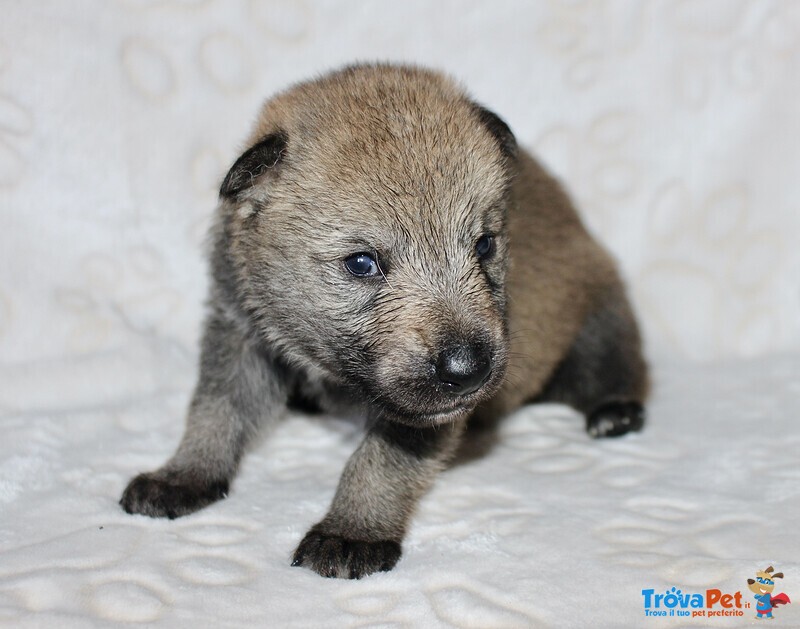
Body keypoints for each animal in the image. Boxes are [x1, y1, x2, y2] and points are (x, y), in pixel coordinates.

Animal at [123, 65, 648, 580]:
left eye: (484, 245)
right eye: (362, 263)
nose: (468, 370)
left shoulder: (421, 414)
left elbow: (380, 459)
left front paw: (352, 529)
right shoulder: (240, 332)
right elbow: (216, 408)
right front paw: (183, 474)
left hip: (600, 313)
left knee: (614, 361)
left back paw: (615, 410)